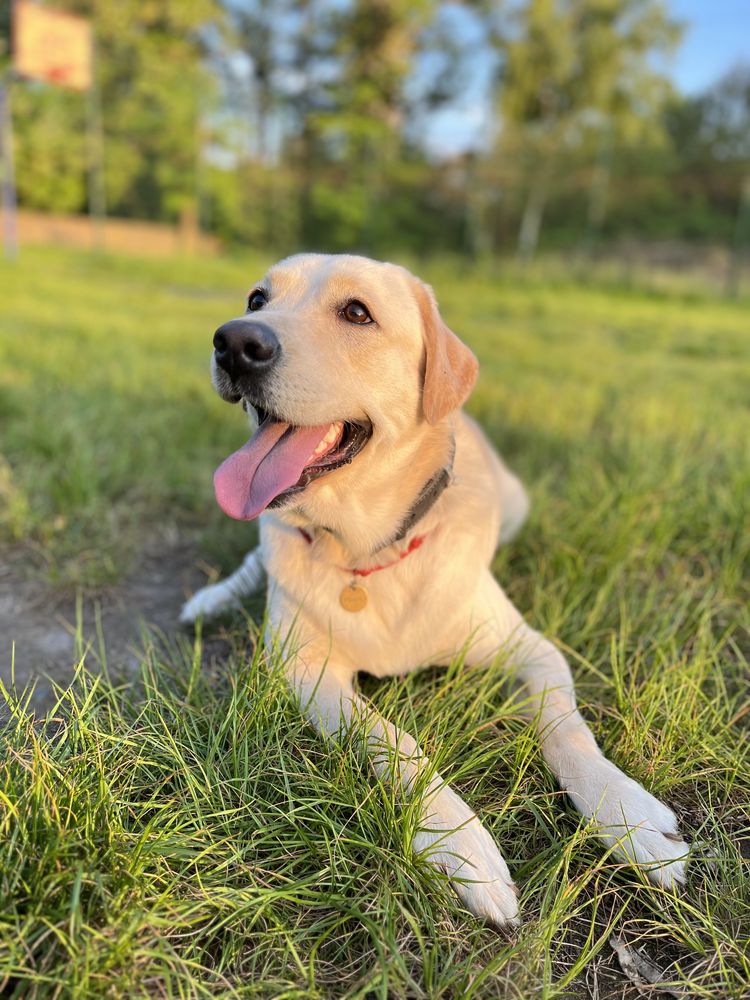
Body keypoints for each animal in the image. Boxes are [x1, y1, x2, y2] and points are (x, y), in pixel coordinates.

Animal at [181, 254, 688, 924]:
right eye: (257, 298)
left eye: (357, 312)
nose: (235, 342)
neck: (369, 552)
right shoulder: (307, 670)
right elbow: (395, 740)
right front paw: (461, 845)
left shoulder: (534, 649)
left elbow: (567, 728)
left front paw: (628, 815)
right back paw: (211, 601)